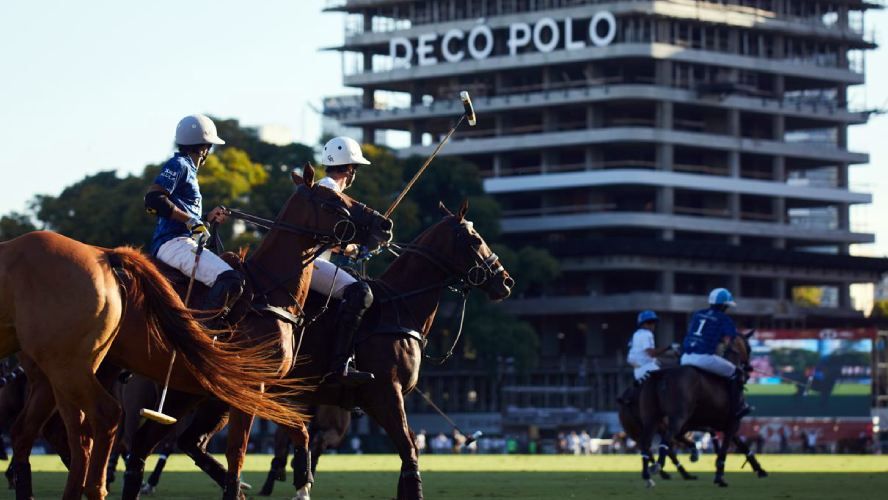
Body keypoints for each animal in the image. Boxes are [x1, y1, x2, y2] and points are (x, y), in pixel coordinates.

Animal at [0, 164, 390, 500]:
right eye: (332, 201)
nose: (384, 225)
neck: (267, 293)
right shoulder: (248, 387)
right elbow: (236, 452)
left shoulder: (215, 391)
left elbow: (295, 429)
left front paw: (297, 477)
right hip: (75, 367)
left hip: (73, 369)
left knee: (51, 432)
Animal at [640, 332, 756, 488]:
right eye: (748, 347)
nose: (749, 368)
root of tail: (661, 374)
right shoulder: (732, 423)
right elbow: (724, 450)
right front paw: (719, 478)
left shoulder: (701, 422)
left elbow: (721, 440)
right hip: (677, 417)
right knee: (666, 438)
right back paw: (658, 466)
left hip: (651, 418)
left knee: (646, 444)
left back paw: (648, 477)